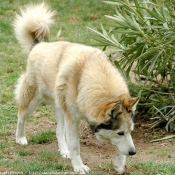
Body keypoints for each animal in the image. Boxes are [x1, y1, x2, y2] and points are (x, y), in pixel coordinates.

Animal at [13, 2, 139, 174]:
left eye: (130, 131)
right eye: (120, 132)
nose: (133, 152)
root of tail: (38, 45)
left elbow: (120, 149)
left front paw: (119, 163)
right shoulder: (72, 119)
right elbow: (75, 146)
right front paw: (79, 167)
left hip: (60, 108)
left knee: (59, 131)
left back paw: (64, 151)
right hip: (32, 102)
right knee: (20, 117)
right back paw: (20, 138)